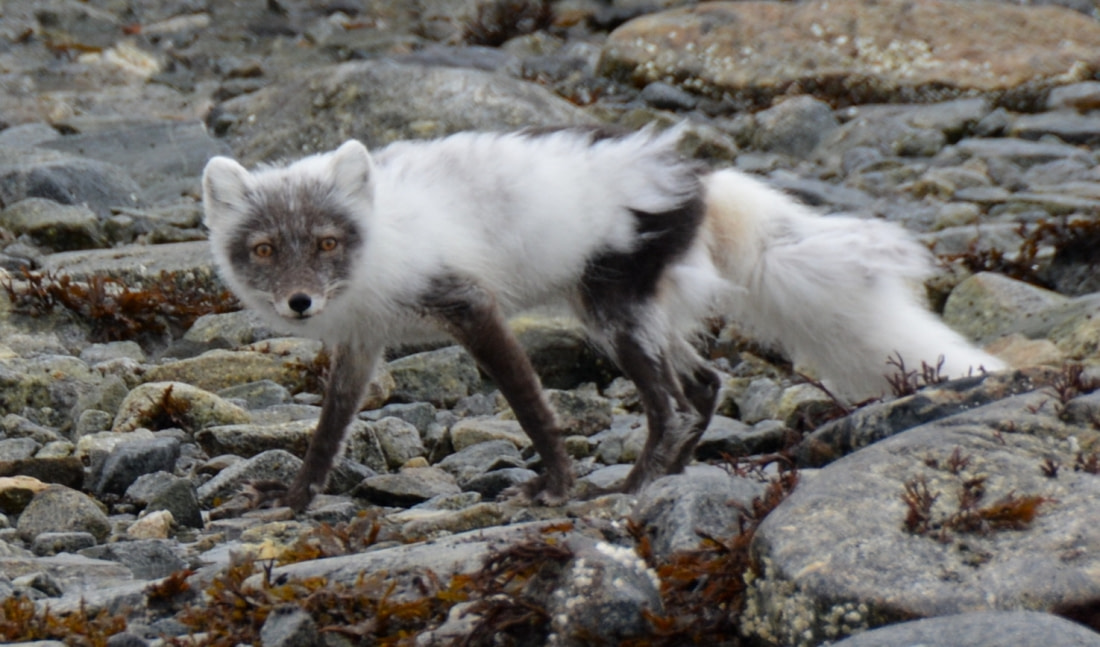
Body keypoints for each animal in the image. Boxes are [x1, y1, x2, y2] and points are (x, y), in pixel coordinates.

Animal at [202, 126, 1003, 510]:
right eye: (265, 248)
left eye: (326, 243)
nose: (300, 303)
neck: (378, 243)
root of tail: (701, 179)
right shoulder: (361, 342)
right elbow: (327, 433)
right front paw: (293, 500)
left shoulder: (469, 304)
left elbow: (529, 403)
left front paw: (554, 486)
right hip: (639, 311)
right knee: (705, 387)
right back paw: (671, 477)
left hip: (611, 310)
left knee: (672, 403)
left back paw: (632, 487)